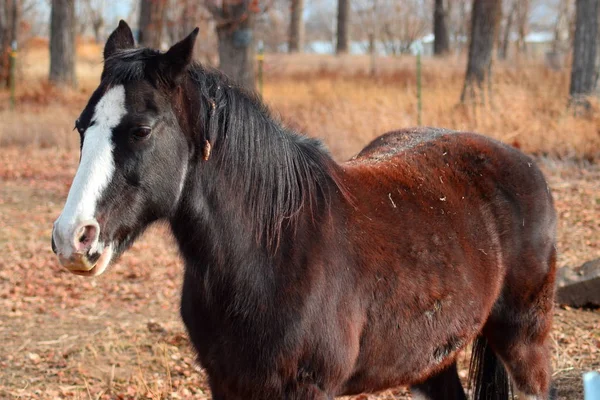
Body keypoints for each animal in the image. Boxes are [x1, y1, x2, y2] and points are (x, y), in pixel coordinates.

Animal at [51, 21, 556, 400]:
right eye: (80, 126)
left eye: (141, 130)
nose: (72, 237)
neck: (272, 252)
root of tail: (524, 162)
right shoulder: (228, 384)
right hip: (431, 360)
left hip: (524, 342)